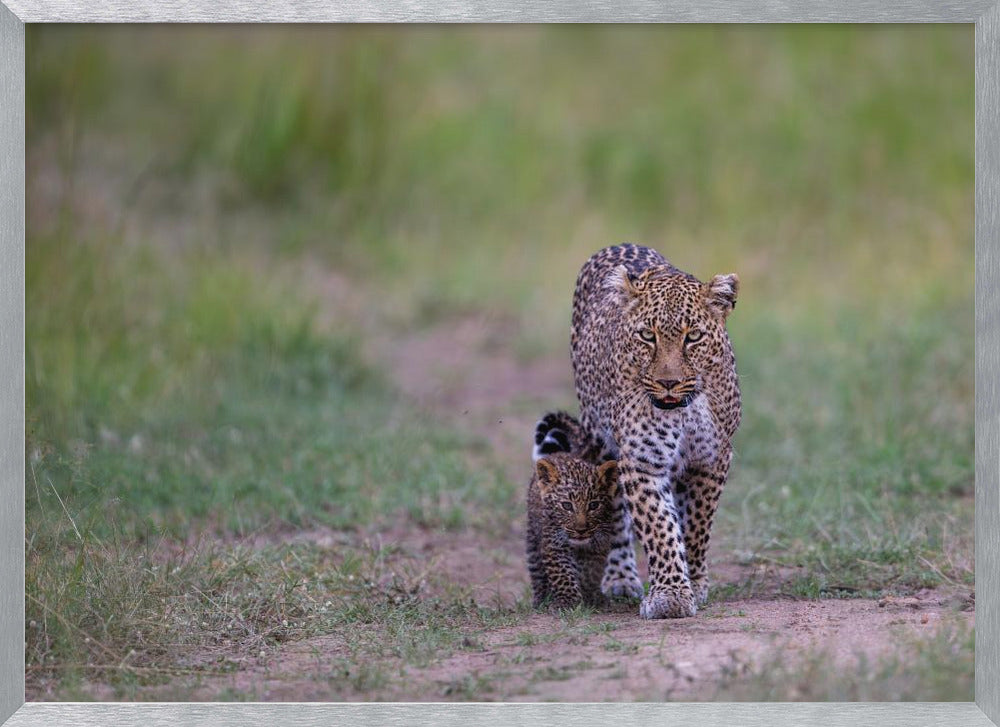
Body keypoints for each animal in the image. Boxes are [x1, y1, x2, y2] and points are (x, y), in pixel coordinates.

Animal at [572, 245, 736, 620]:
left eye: (693, 337)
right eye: (648, 336)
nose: (668, 382)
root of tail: (619, 243)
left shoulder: (712, 458)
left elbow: (696, 525)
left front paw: (694, 582)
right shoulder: (642, 460)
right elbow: (659, 526)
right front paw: (670, 596)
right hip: (598, 442)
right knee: (615, 513)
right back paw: (619, 577)